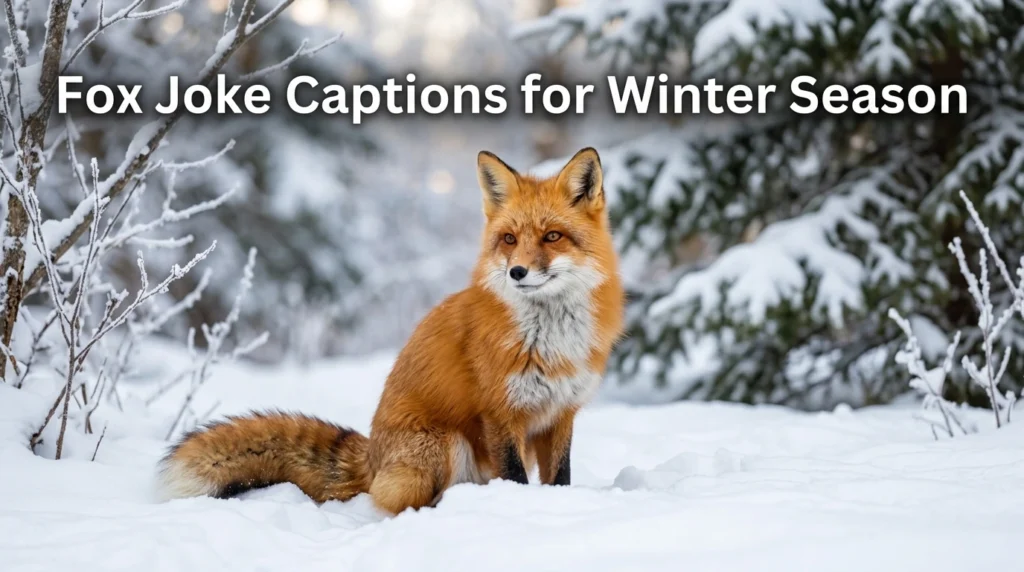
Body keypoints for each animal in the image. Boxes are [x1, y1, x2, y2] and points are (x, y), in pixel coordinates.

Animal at [157, 147, 625, 514]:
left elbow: (560, 477)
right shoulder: (501, 414)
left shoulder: (561, 413)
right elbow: (515, 478)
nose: (517, 272)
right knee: (399, 500)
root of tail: (372, 457)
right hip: (444, 444)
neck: (550, 341)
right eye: (509, 239)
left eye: (552, 236)